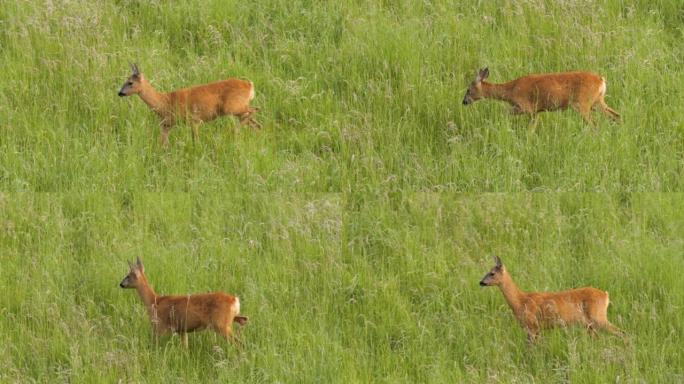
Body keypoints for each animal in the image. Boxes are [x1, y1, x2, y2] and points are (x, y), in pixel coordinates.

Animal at [118, 63, 262, 146]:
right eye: (126, 80)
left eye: (130, 82)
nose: (120, 93)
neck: (165, 101)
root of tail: (249, 85)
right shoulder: (167, 124)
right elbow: (162, 143)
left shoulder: (194, 119)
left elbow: (195, 140)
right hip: (237, 109)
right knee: (256, 123)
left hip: (232, 106)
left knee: (255, 109)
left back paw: (234, 132)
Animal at [119, 256, 248, 346]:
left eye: (128, 275)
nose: (121, 284)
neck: (154, 301)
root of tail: (234, 300)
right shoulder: (182, 330)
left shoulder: (160, 327)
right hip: (228, 321)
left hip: (221, 325)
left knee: (239, 344)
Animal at [464, 67, 620, 124]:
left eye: (468, 89)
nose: (464, 102)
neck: (511, 90)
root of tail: (601, 80)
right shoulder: (536, 111)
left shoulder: (525, 107)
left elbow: (505, 113)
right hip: (598, 101)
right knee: (616, 115)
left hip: (582, 104)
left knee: (594, 123)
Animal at [478, 255, 624, 342]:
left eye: (492, 273)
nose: (481, 282)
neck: (520, 301)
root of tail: (605, 295)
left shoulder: (533, 325)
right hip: (589, 324)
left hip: (598, 317)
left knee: (621, 332)